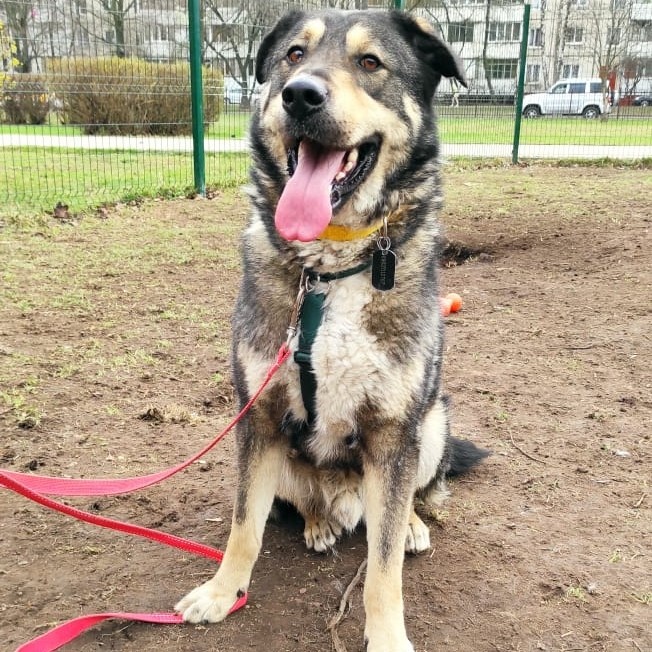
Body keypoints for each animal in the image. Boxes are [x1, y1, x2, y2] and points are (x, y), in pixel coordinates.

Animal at [176, 10, 486, 652]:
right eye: (294, 55)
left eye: (370, 63)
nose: (299, 95)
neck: (329, 267)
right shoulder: (259, 418)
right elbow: (244, 526)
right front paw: (222, 593)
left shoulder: (394, 431)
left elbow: (384, 564)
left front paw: (387, 635)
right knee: (304, 502)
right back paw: (319, 522)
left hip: (431, 424)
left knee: (399, 507)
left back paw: (409, 523)